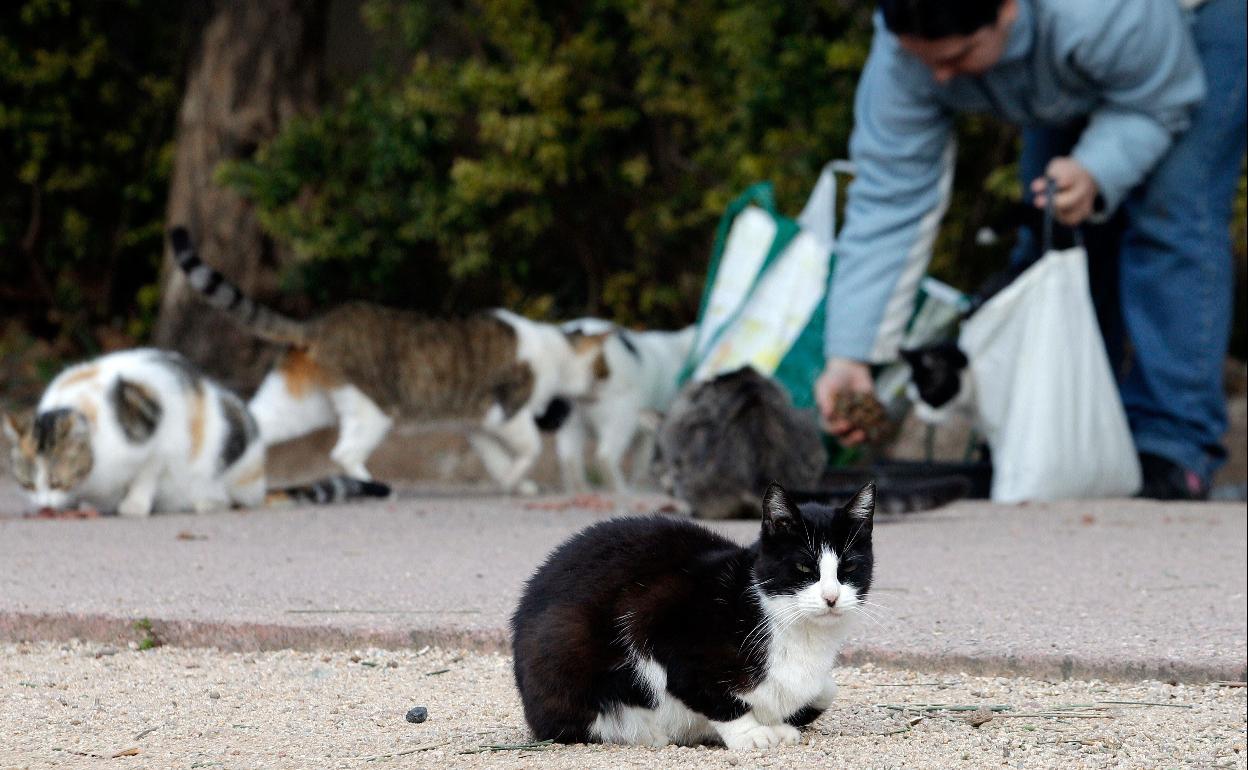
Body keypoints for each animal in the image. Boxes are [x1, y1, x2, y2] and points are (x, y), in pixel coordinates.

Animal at [3, 346, 389, 514]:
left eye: (56, 481)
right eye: (27, 485)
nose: (43, 505)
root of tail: (259, 484)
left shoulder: (163, 436)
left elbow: (147, 472)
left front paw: (133, 504)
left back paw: (206, 501)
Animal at [169, 228, 609, 491]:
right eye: (604, 370)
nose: (605, 386)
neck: (556, 347)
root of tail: (318, 325)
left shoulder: (477, 424)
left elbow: (497, 460)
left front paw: (512, 484)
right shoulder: (507, 411)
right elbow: (530, 447)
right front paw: (519, 477)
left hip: (299, 405)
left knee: (251, 422)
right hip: (372, 409)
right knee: (343, 454)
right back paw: (373, 487)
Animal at [511, 479, 873, 743]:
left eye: (849, 567)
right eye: (803, 567)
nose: (831, 597)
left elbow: (826, 689)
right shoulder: (652, 617)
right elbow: (706, 691)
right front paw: (750, 734)